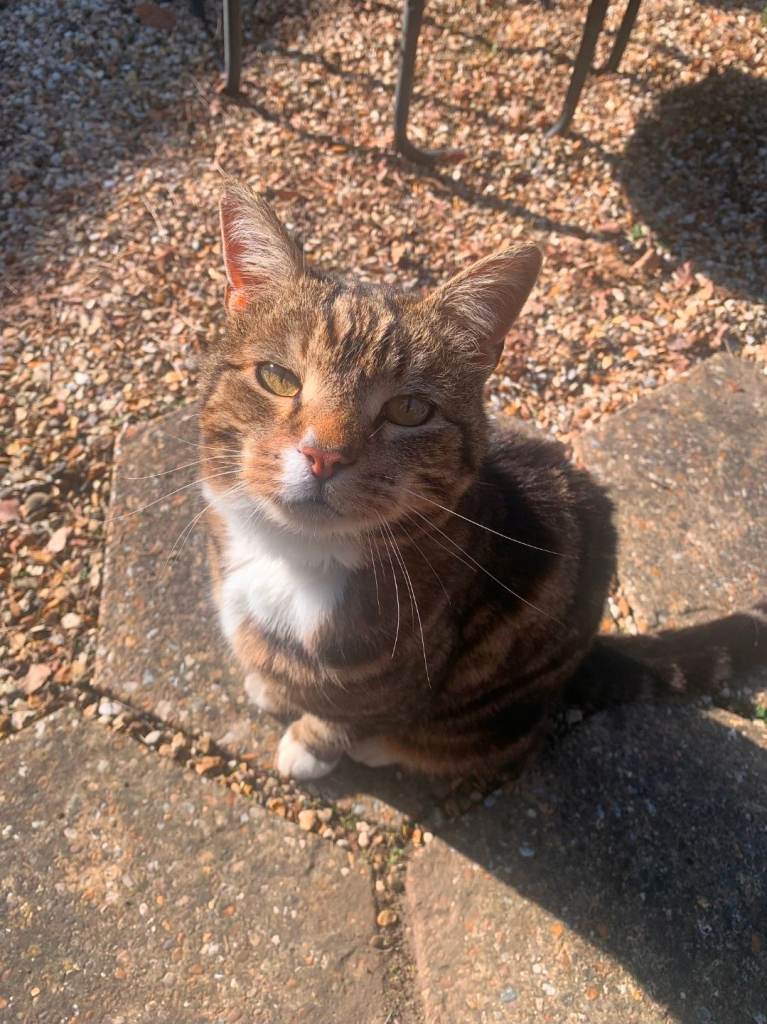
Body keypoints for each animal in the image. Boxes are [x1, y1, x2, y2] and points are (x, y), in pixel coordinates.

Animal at [200, 180, 767, 781]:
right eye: (278, 378)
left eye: (409, 410)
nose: (323, 455)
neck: (293, 557)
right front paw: (271, 685)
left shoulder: (398, 678)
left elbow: (346, 713)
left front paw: (311, 745)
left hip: (502, 709)